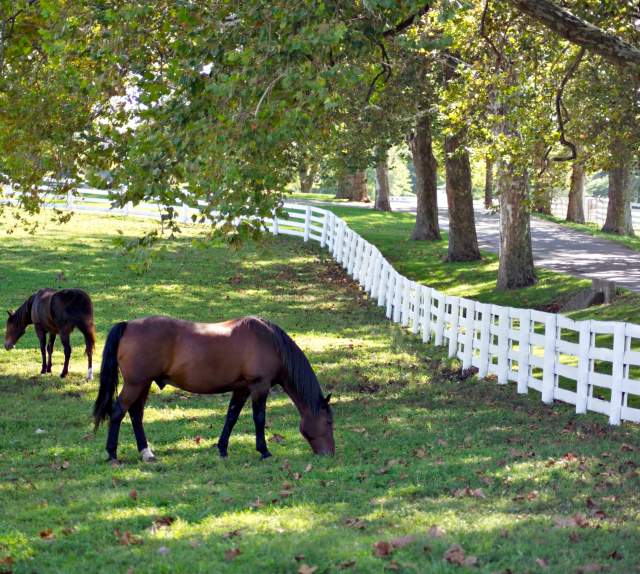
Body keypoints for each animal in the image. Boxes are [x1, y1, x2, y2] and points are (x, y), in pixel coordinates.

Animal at [93, 315, 335, 462]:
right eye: (329, 422)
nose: (329, 453)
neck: (270, 342)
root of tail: (128, 325)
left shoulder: (242, 389)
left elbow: (231, 417)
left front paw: (222, 449)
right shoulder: (259, 386)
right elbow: (259, 419)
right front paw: (264, 451)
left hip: (144, 384)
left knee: (136, 414)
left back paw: (146, 452)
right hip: (135, 384)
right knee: (118, 411)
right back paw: (112, 453)